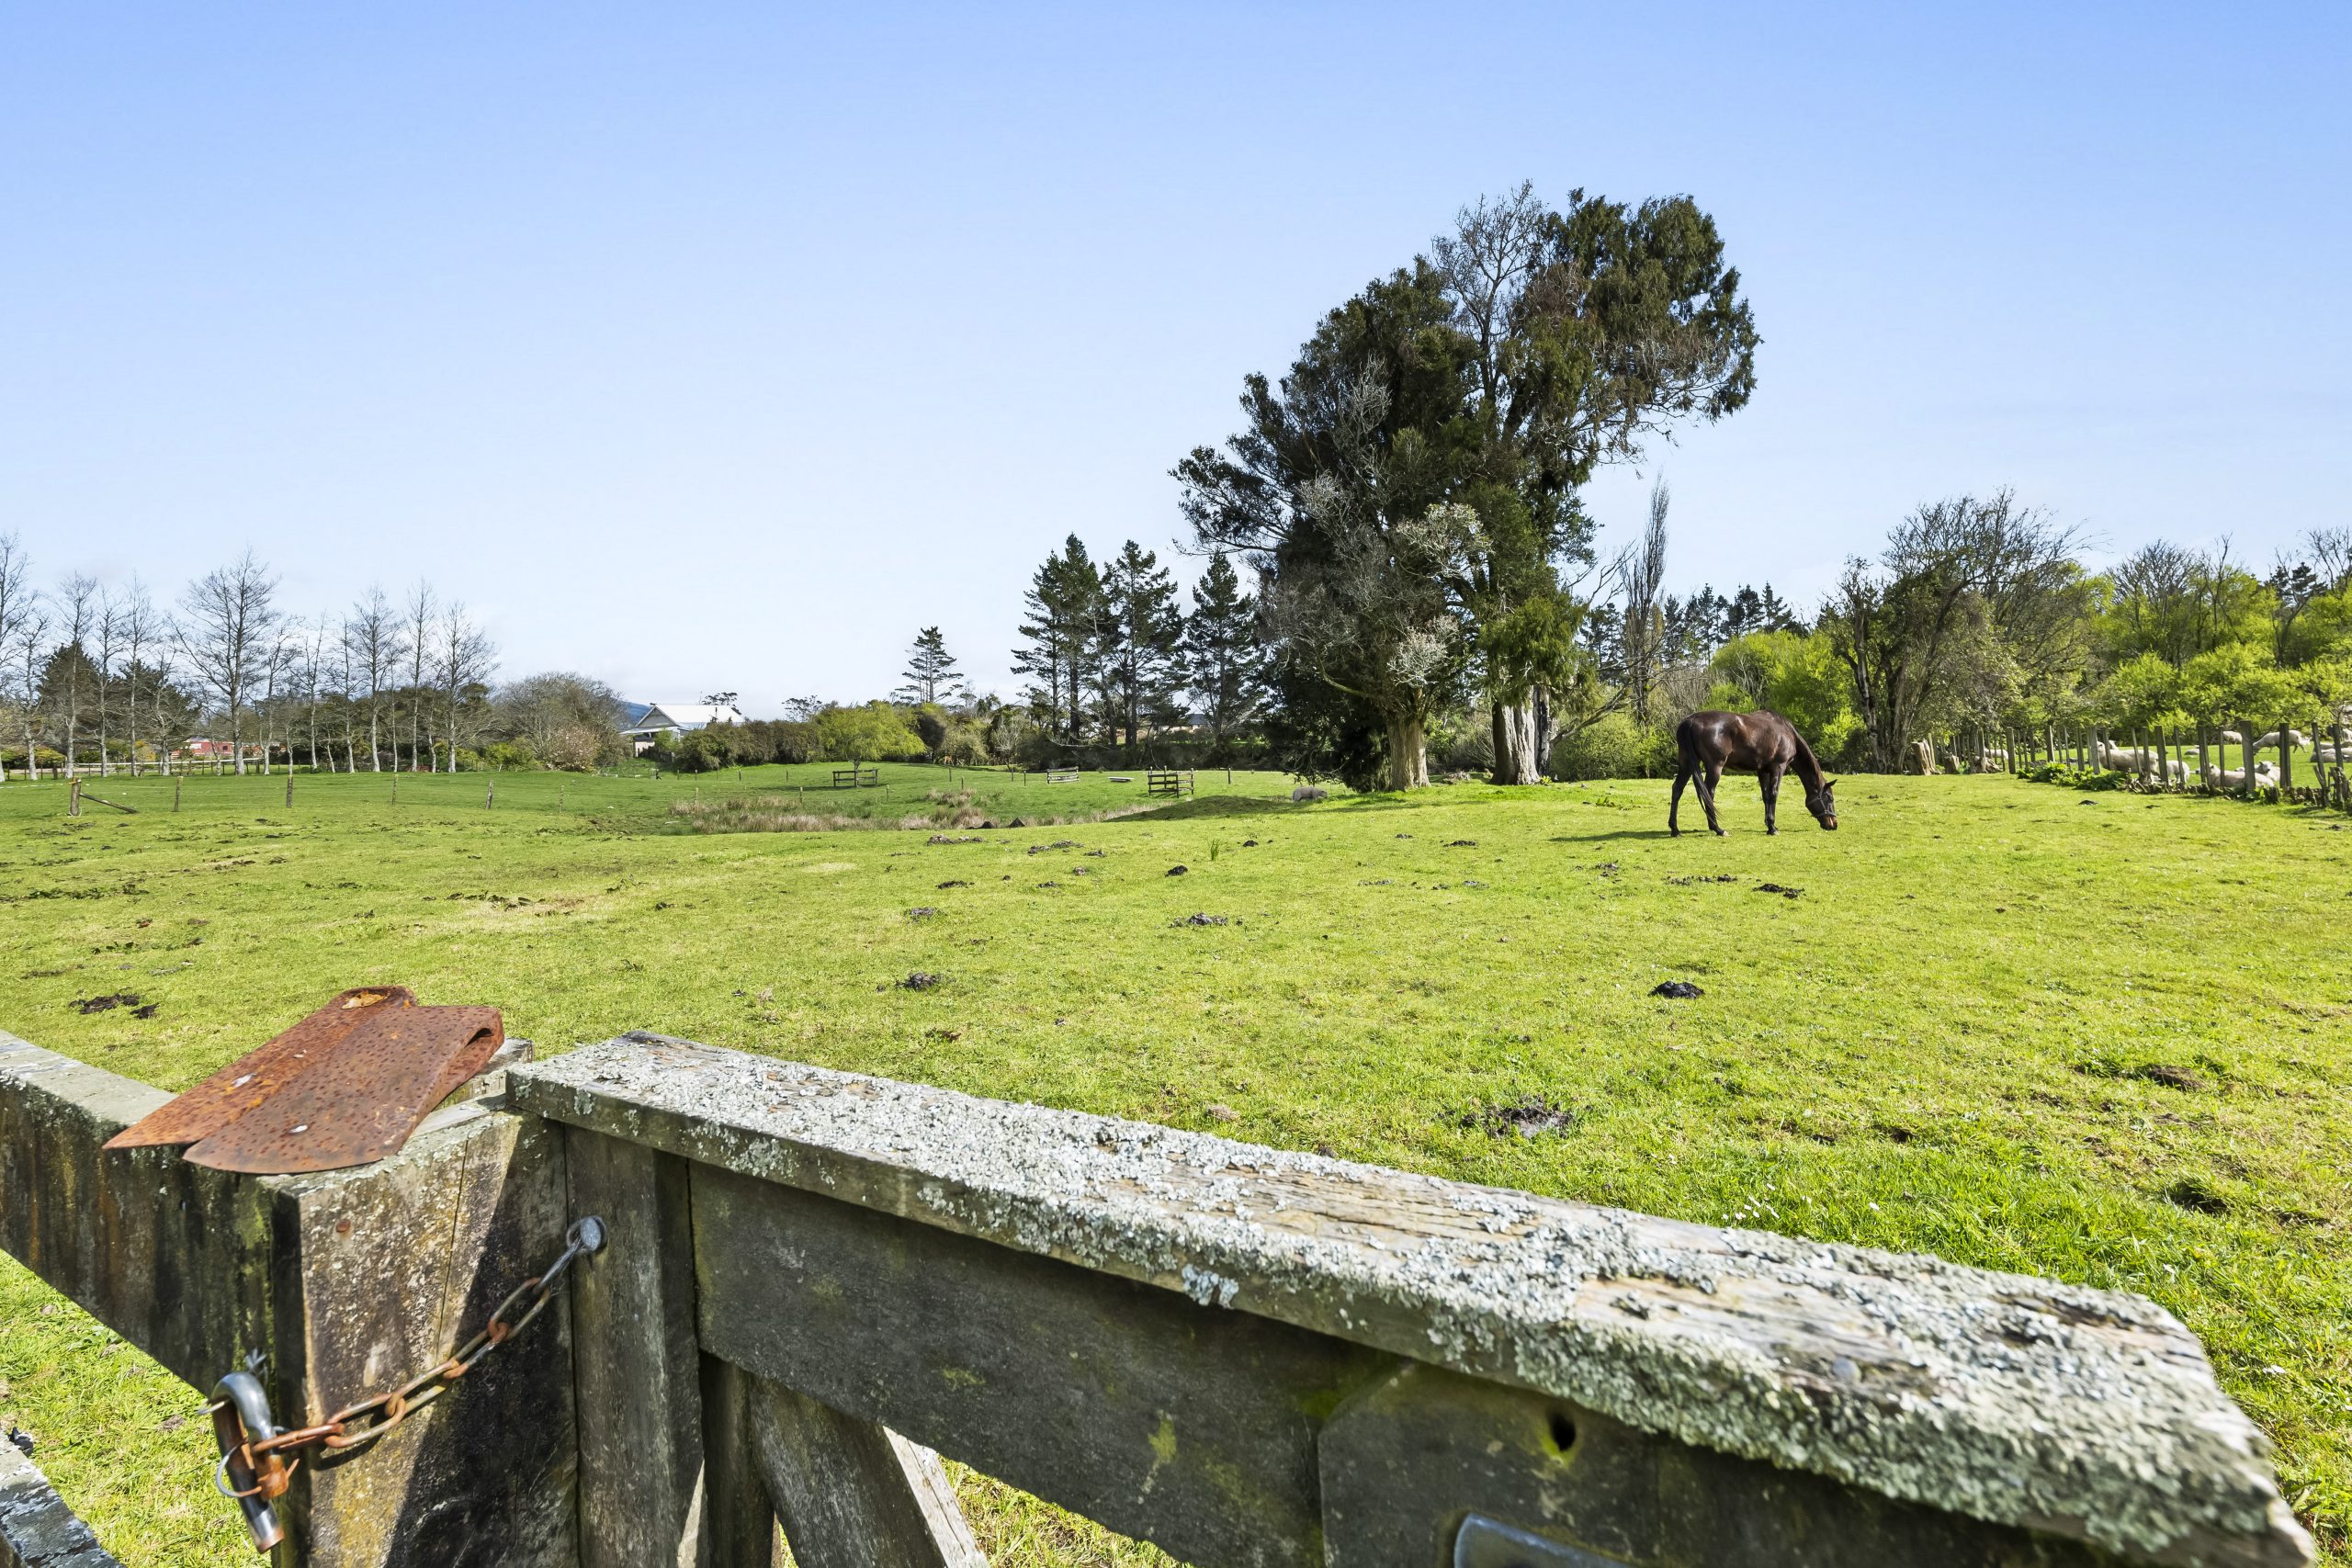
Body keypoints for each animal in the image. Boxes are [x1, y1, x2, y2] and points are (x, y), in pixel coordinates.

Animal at [1674, 709, 1834, 831]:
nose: (1834, 824)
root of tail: (1691, 720)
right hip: (1714, 767)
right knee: (1708, 792)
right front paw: (1773, 828)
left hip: (1686, 764)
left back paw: (1675, 829)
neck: (1787, 733)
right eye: (1830, 798)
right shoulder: (1779, 767)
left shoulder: (1762, 770)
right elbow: (1773, 794)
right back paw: (1717, 829)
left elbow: (1766, 796)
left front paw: (1769, 824)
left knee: (1677, 789)